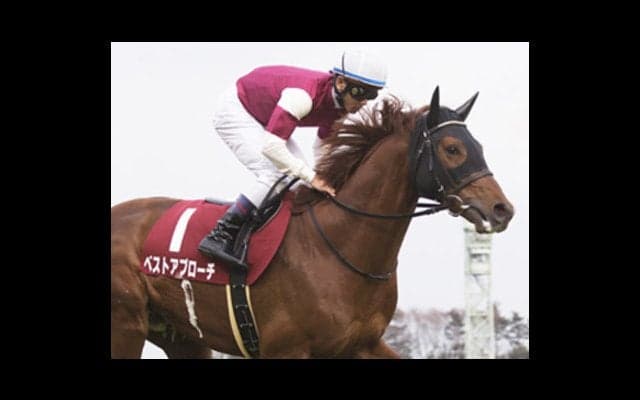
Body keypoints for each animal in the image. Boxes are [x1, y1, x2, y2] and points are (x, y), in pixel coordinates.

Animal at [111, 87, 514, 358]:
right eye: (452, 149)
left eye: (477, 145)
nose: (502, 209)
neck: (339, 246)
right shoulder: (285, 349)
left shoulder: (364, 343)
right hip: (127, 325)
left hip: (182, 336)